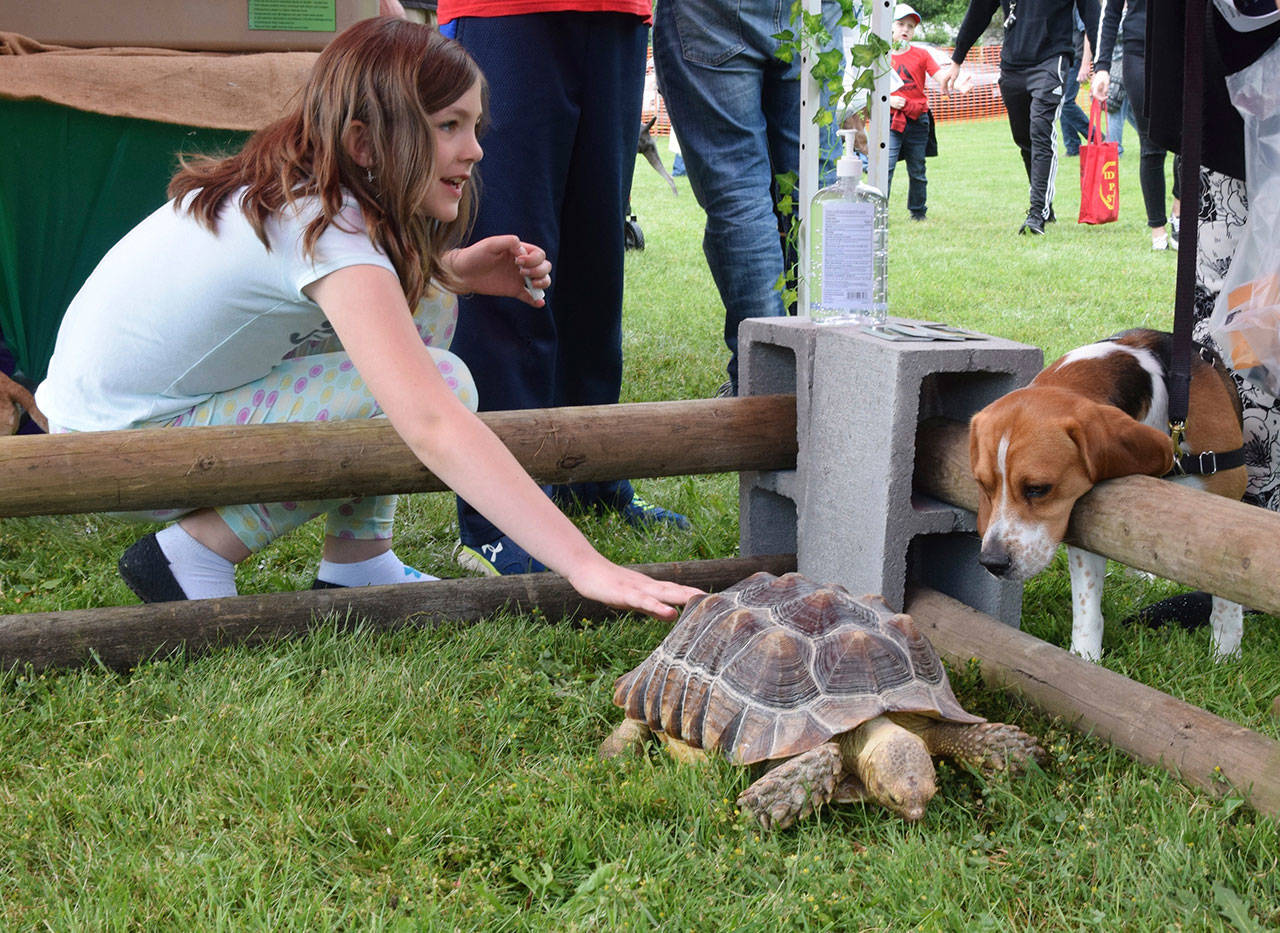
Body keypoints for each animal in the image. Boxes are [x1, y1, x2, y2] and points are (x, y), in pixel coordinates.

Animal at [962, 330, 1244, 660]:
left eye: (1038, 489)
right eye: (984, 486)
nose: (992, 562)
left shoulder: (1227, 510)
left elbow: (1226, 592)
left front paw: (1225, 652)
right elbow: (1087, 603)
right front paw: (1084, 656)